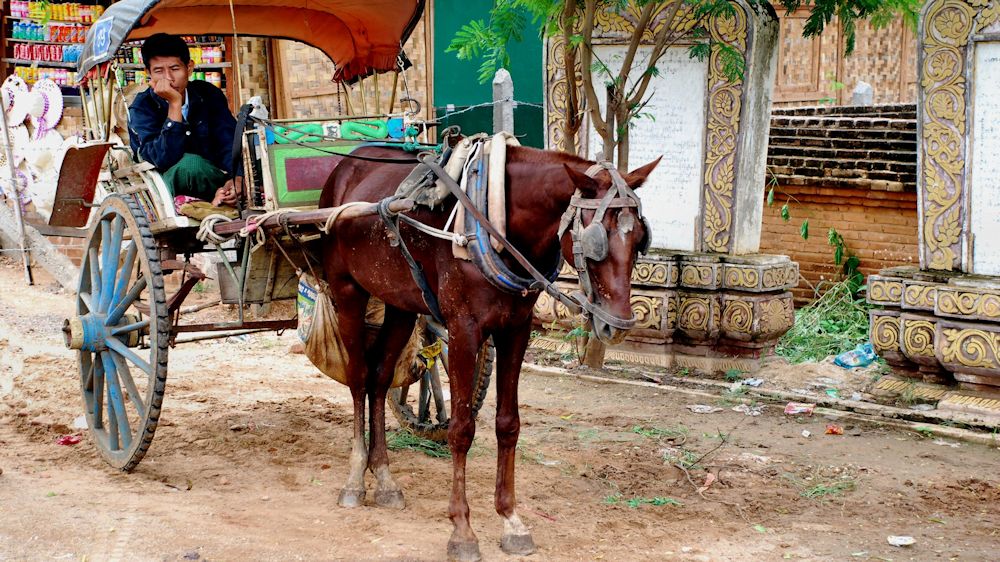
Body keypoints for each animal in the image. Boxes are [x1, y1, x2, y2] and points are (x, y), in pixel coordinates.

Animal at [320, 145, 660, 560]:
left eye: (640, 238)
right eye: (598, 240)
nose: (618, 325)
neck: (495, 216)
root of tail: (346, 163)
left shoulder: (517, 328)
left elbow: (508, 424)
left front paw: (511, 519)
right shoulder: (463, 330)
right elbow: (461, 429)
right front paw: (462, 530)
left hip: (399, 303)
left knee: (380, 379)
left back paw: (384, 478)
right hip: (346, 290)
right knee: (357, 379)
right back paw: (355, 479)